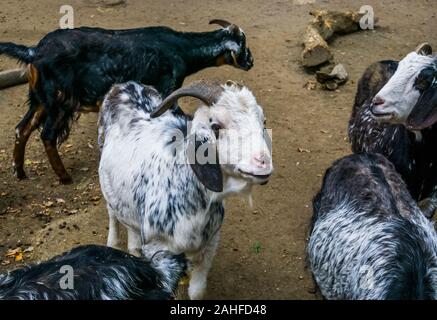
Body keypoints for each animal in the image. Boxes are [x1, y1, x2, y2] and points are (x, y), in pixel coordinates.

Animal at [0, 20, 252, 184]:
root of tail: (34, 51)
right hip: (60, 101)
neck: (180, 48)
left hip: (41, 100)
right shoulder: (167, 90)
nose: (251, 62)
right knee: (47, 136)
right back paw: (65, 178)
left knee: (21, 129)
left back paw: (20, 172)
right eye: (242, 46)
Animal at [99, 80, 272, 300]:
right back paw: (112, 242)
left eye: (263, 121)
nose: (263, 163)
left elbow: (197, 291)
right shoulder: (158, 249)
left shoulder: (210, 243)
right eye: (216, 126)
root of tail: (126, 84)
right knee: (112, 212)